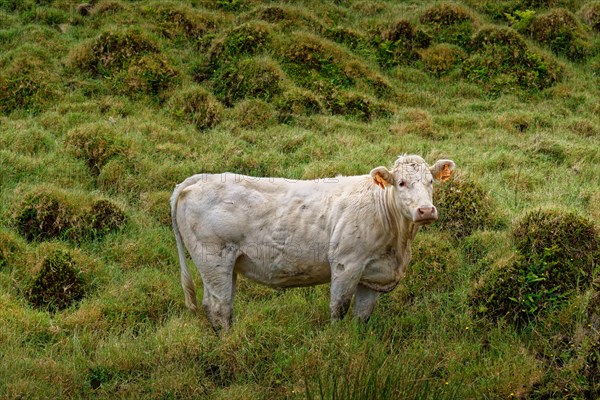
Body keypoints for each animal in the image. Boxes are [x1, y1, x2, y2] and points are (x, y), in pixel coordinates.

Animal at [171, 155, 452, 330]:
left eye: (431, 182)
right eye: (401, 183)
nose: (426, 210)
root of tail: (199, 179)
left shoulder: (373, 275)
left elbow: (361, 317)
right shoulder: (346, 264)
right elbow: (338, 308)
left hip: (228, 266)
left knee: (224, 305)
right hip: (213, 259)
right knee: (218, 307)